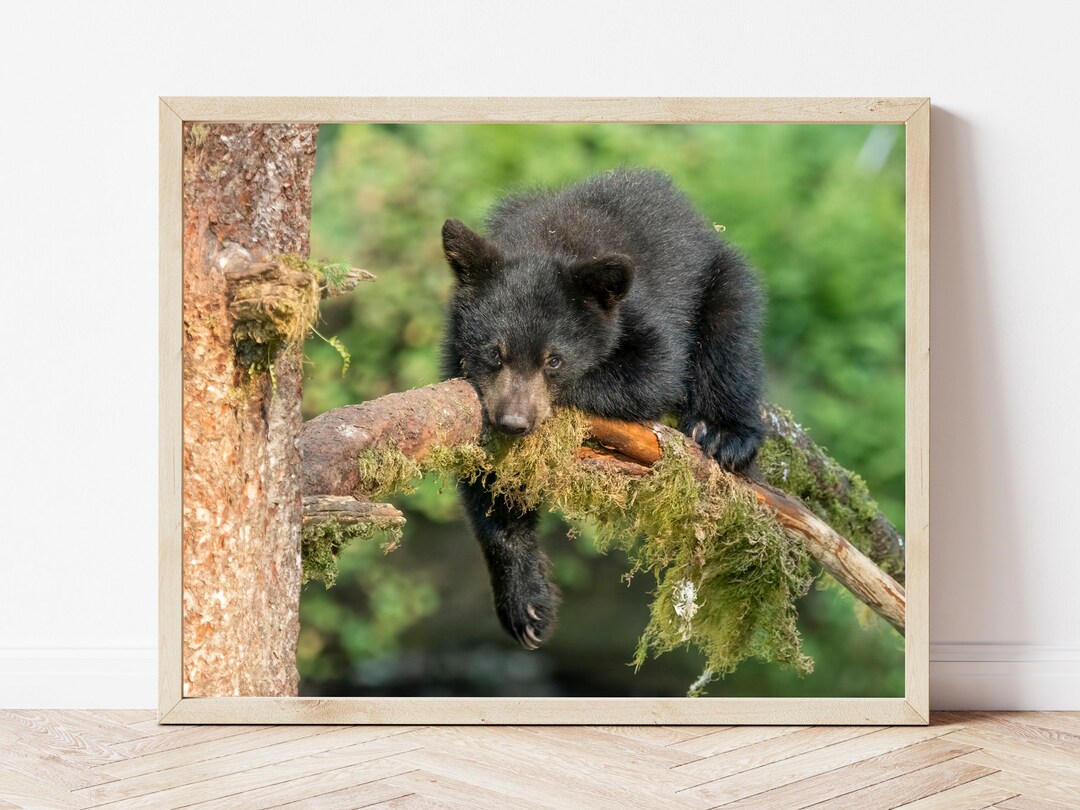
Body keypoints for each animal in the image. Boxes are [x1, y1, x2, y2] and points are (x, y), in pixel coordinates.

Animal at [441, 168, 765, 650]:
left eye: (554, 360)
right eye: (494, 353)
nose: (514, 422)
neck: (546, 241)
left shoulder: (639, 312)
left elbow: (656, 369)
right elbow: (491, 488)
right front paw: (527, 607)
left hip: (721, 279)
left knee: (731, 339)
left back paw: (725, 434)